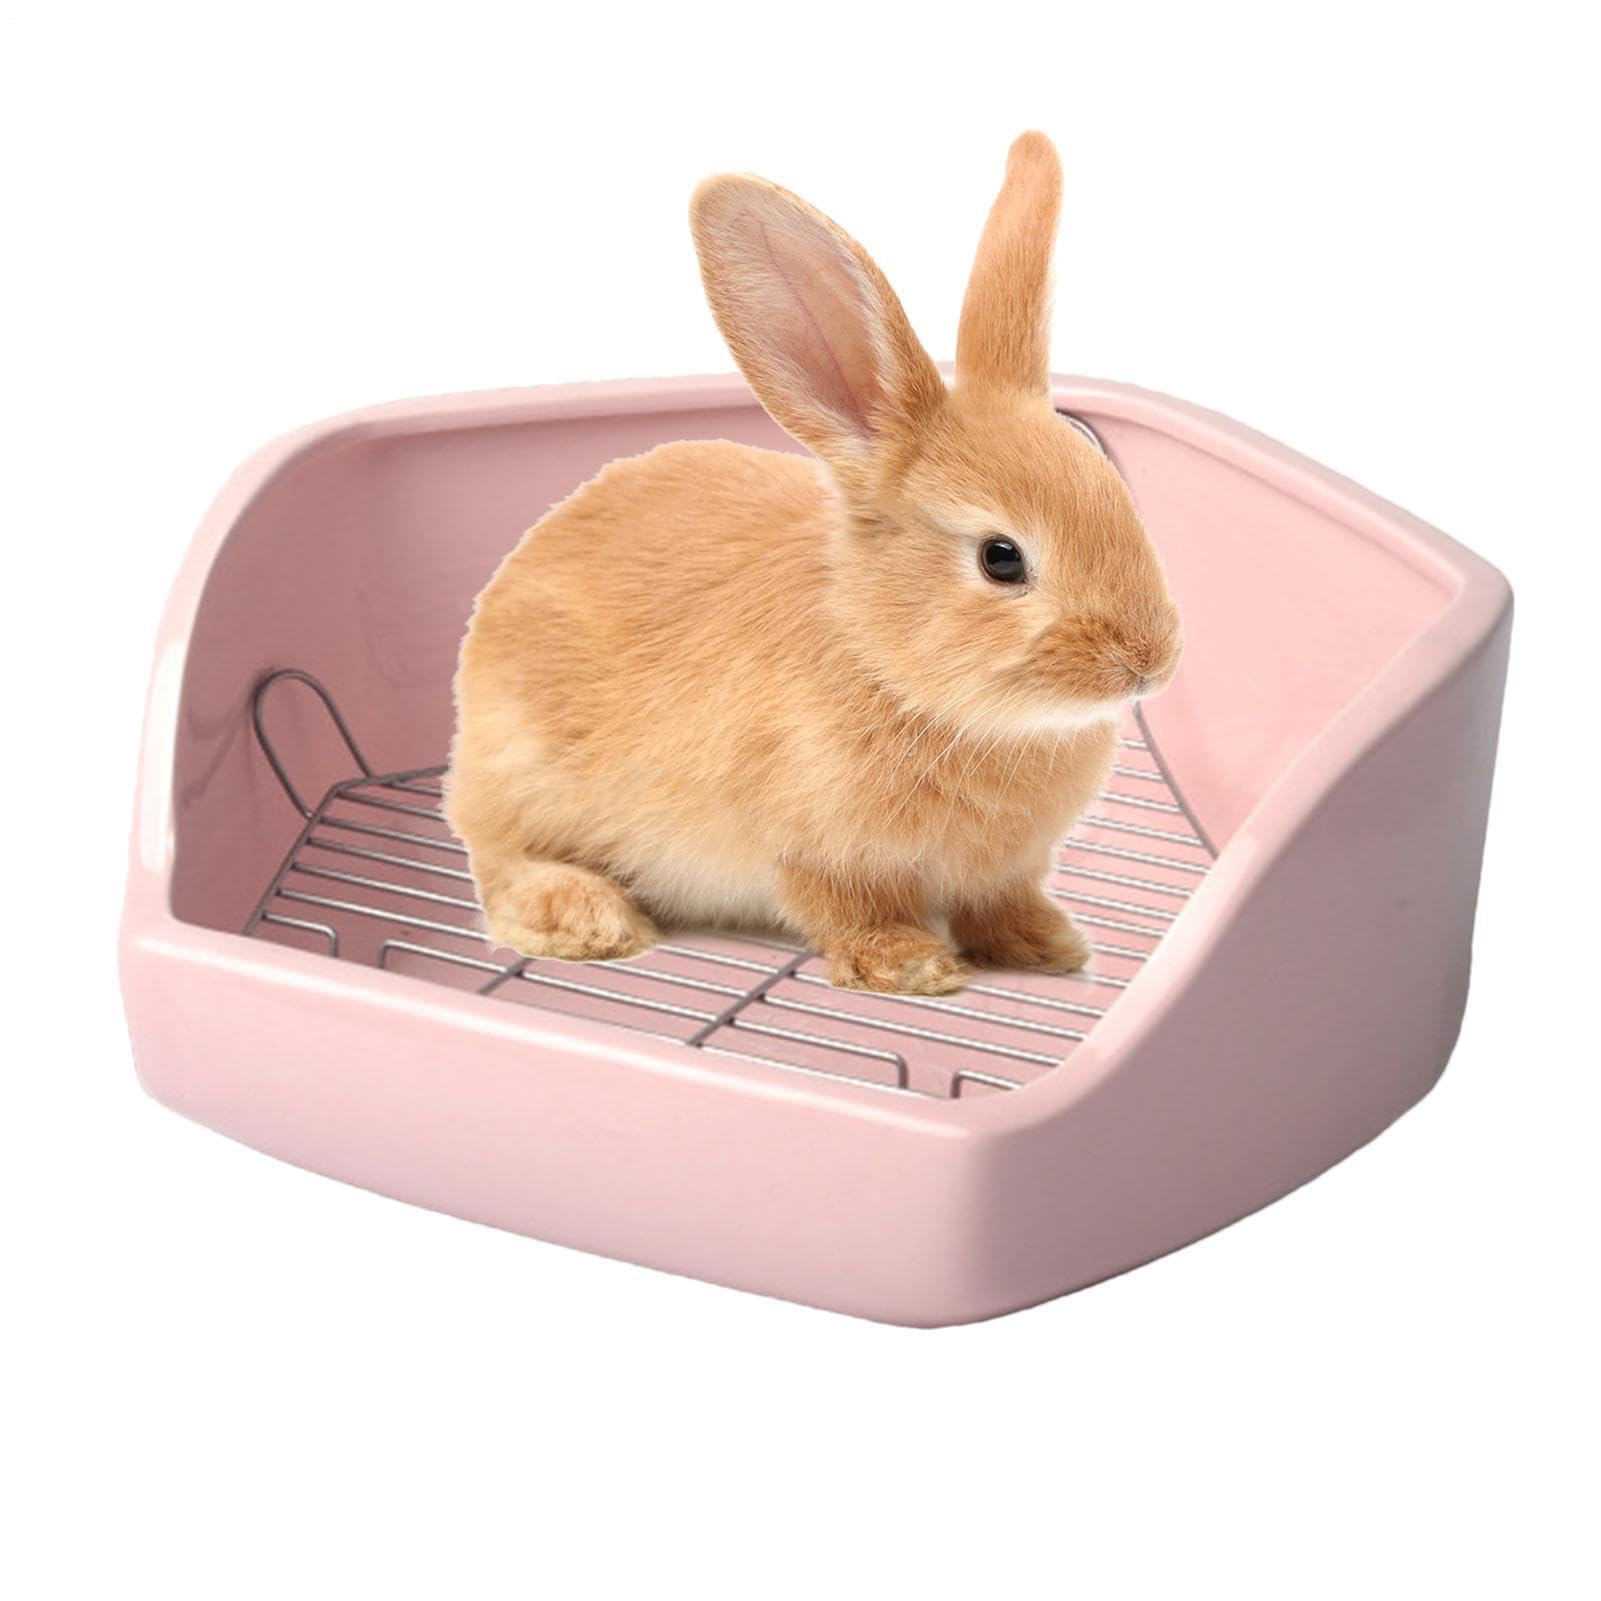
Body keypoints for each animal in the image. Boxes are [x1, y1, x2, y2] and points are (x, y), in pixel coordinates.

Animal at [446, 131, 1182, 996]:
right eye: (1000, 559)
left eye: (1110, 484)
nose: (1148, 660)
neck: (893, 669)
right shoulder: (816, 851)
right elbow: (846, 911)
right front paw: (909, 965)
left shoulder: (1004, 869)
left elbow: (1001, 902)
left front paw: (1047, 944)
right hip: (521, 776)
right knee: (499, 861)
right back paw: (587, 917)